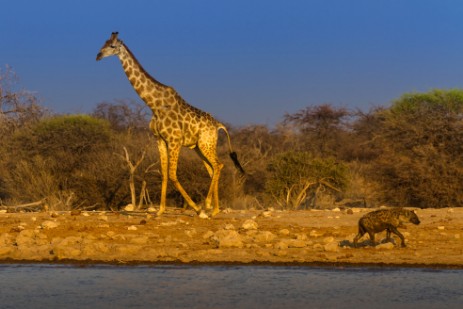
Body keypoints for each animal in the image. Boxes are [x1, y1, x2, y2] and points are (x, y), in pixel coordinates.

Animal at [96, 31, 245, 217]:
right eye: (104, 43)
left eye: (112, 46)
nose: (98, 56)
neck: (154, 105)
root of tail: (219, 125)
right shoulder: (160, 140)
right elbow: (164, 174)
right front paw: (160, 211)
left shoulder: (174, 141)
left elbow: (173, 175)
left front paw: (196, 208)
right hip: (199, 147)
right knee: (212, 169)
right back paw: (214, 209)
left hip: (206, 143)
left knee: (219, 165)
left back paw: (208, 205)